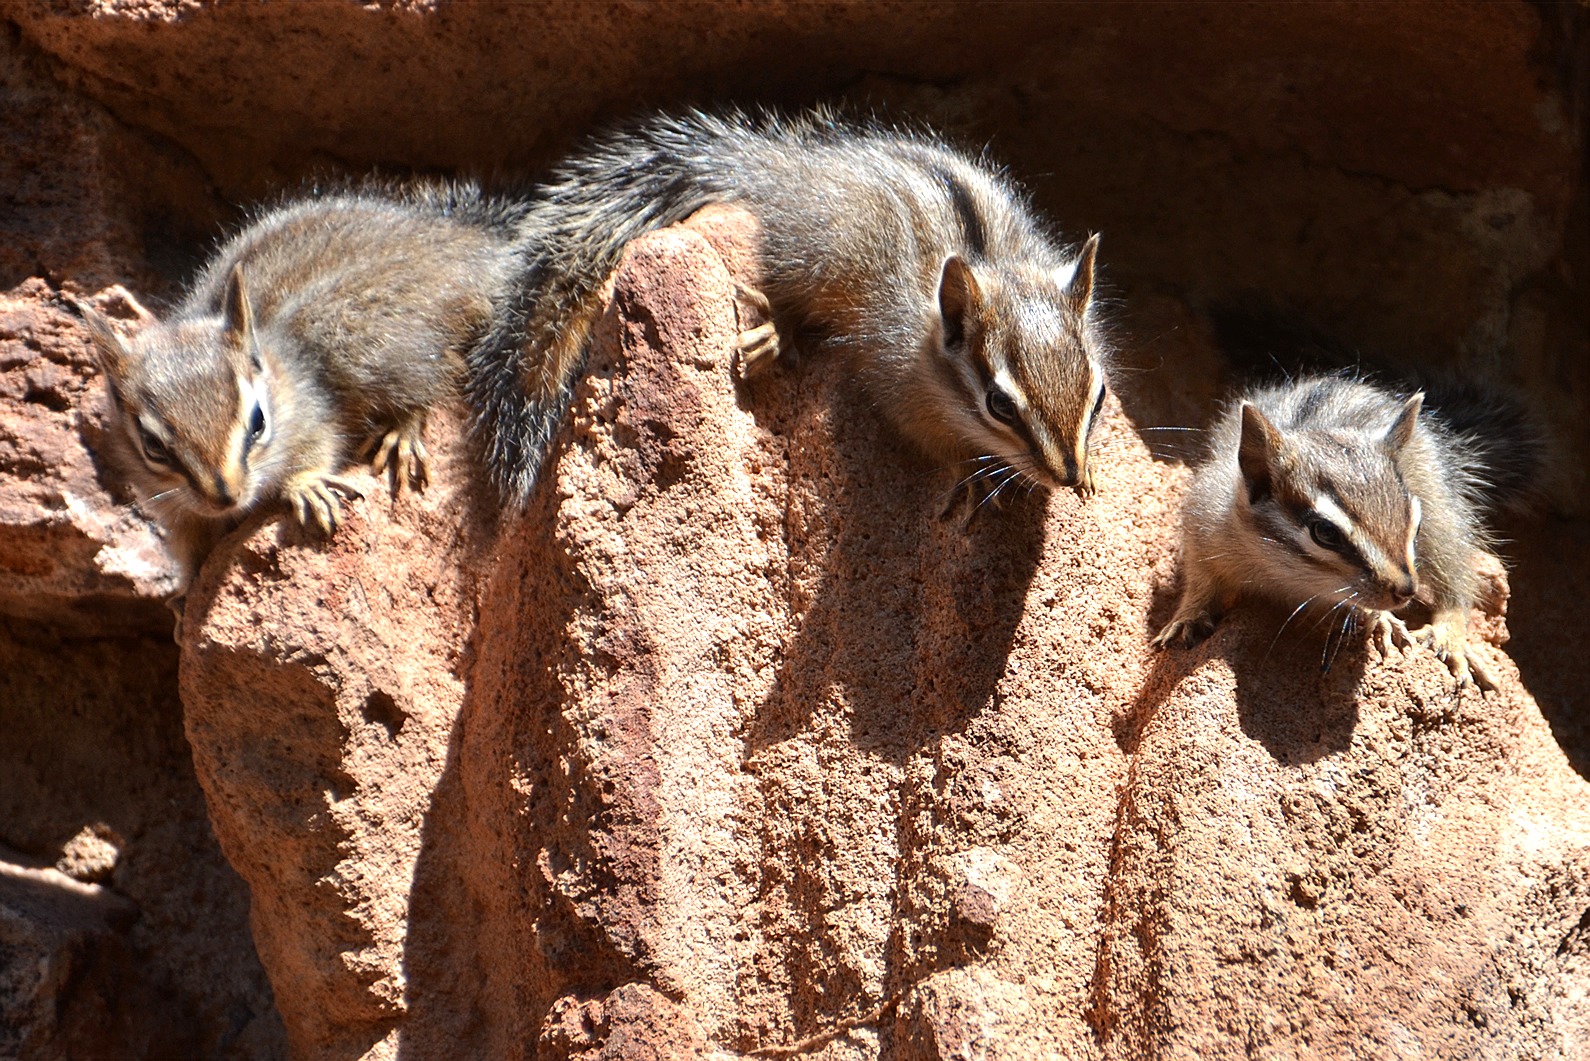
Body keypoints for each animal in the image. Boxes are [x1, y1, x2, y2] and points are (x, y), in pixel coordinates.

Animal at [79, 181, 522, 589]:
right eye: (152, 445)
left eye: (258, 421)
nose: (225, 496)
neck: (278, 368)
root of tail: (469, 245)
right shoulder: (180, 514)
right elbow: (191, 551)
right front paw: (184, 595)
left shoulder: (313, 412)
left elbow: (319, 444)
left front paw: (304, 484)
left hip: (364, 332)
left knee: (441, 371)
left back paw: (403, 432)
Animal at [467, 107, 1110, 513]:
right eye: (999, 404)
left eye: (1100, 394)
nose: (1067, 475)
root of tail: (782, 168)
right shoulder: (898, 387)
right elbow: (932, 446)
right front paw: (969, 479)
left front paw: (1090, 473)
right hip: (808, 262)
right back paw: (771, 335)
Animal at [1151, 369, 1542, 691]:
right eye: (1325, 532)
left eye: (1413, 525)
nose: (1406, 591)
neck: (1282, 573)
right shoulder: (1201, 525)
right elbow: (1199, 582)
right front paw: (1185, 618)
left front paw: (1382, 619)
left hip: (1442, 517)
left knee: (1456, 584)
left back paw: (1451, 640)